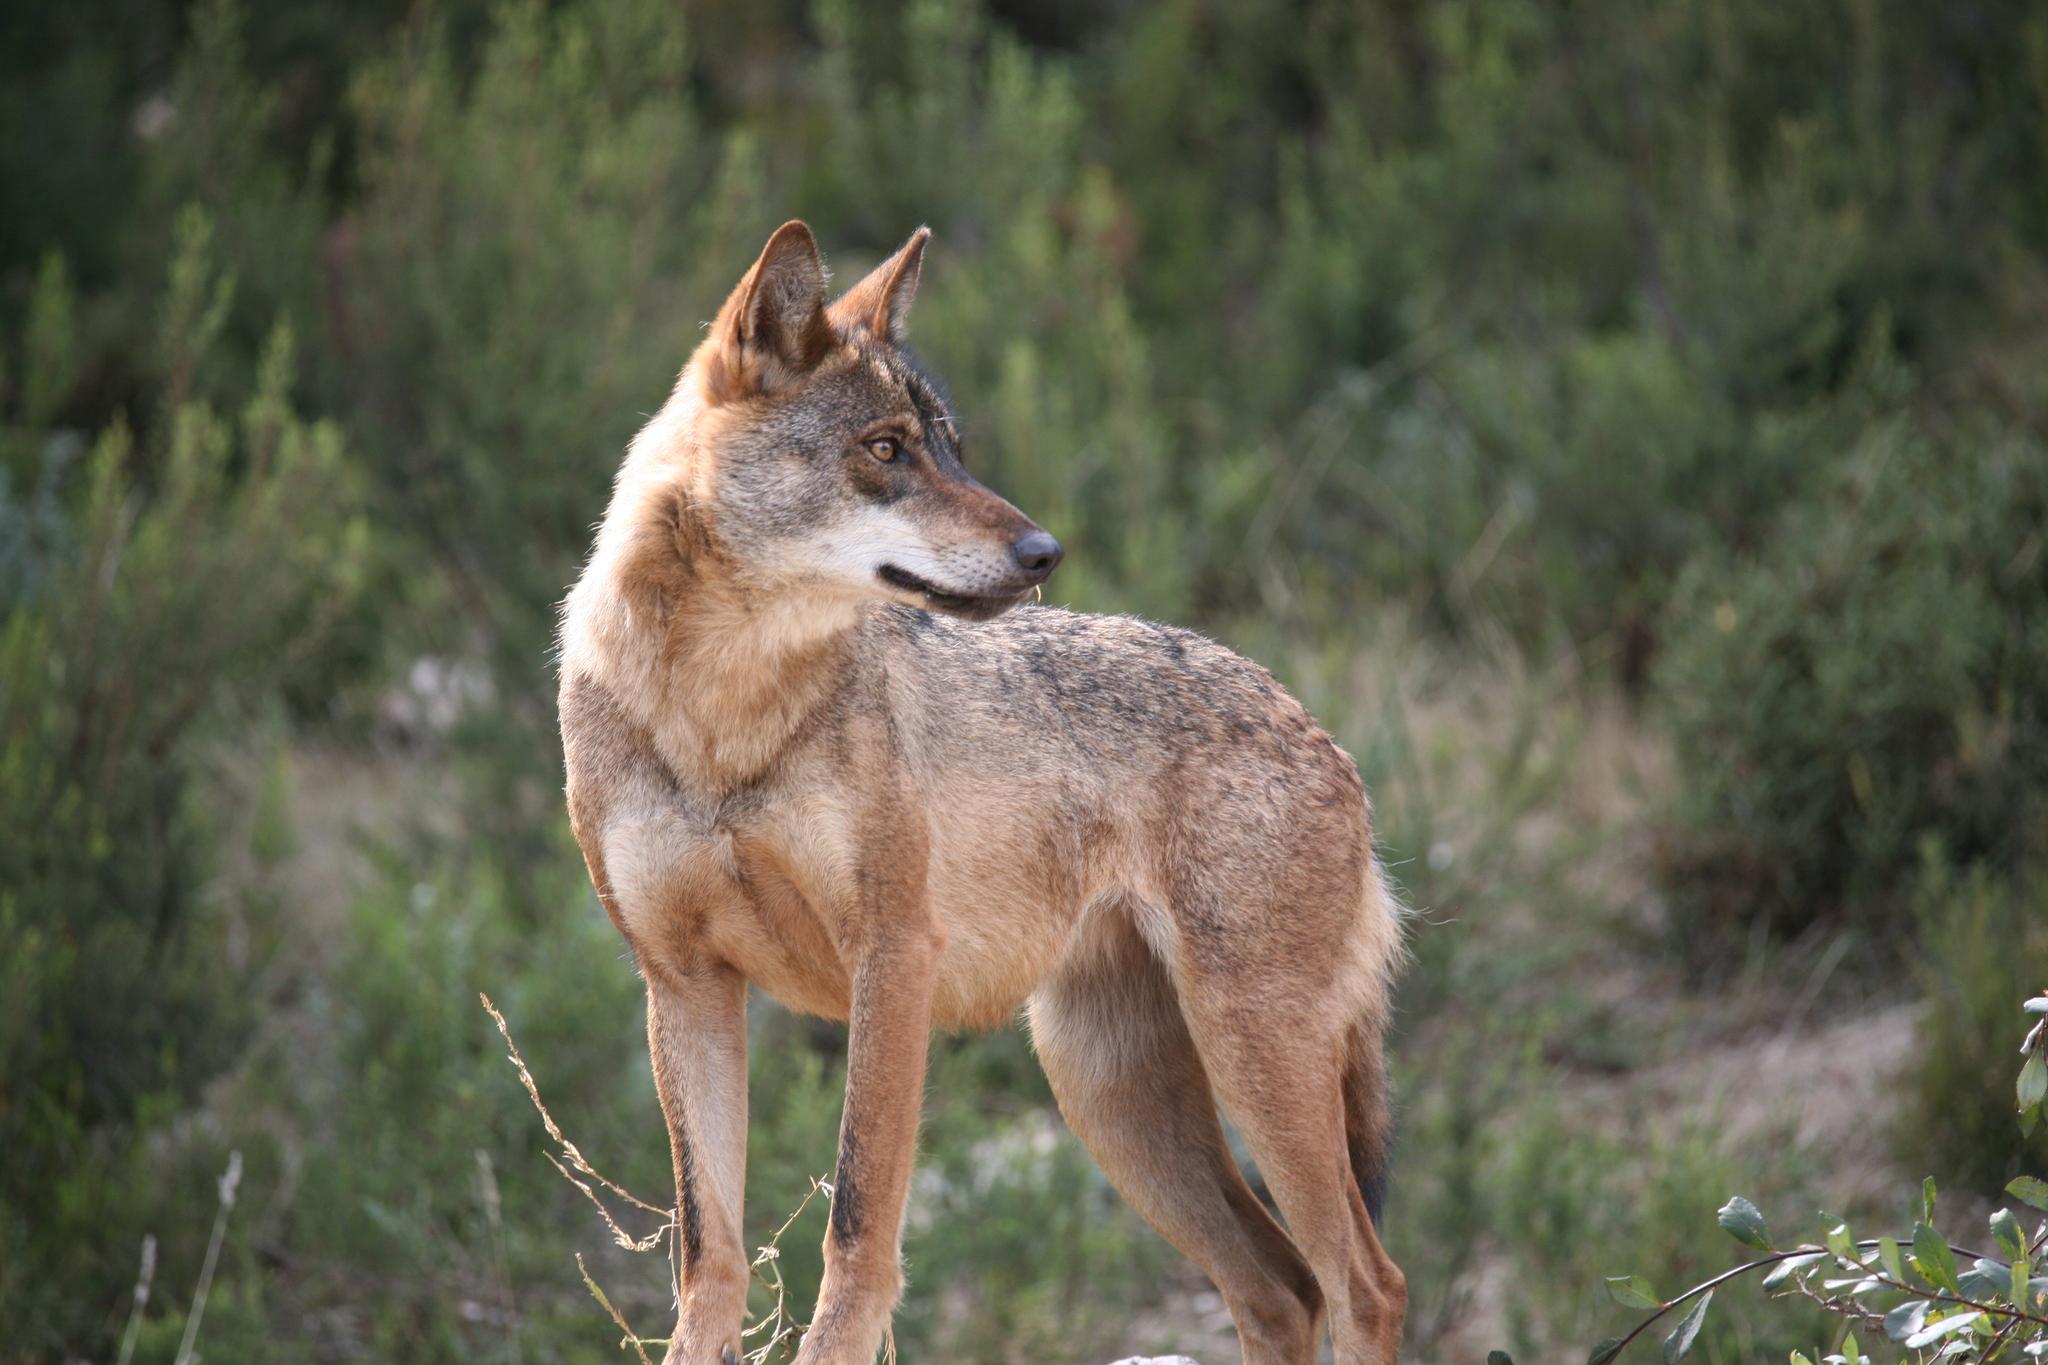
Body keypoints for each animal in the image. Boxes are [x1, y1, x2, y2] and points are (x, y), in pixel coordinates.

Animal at [557, 221, 1407, 1365]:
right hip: (1113, 1097)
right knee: (1280, 1287)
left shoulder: (893, 960)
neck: (719, 716)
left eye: (950, 447)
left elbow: (856, 1230)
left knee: (1364, 1282)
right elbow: (709, 1257)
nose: (1045, 551)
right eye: (885, 450)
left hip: (1245, 1064)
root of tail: (1324, 736)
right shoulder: (683, 985)